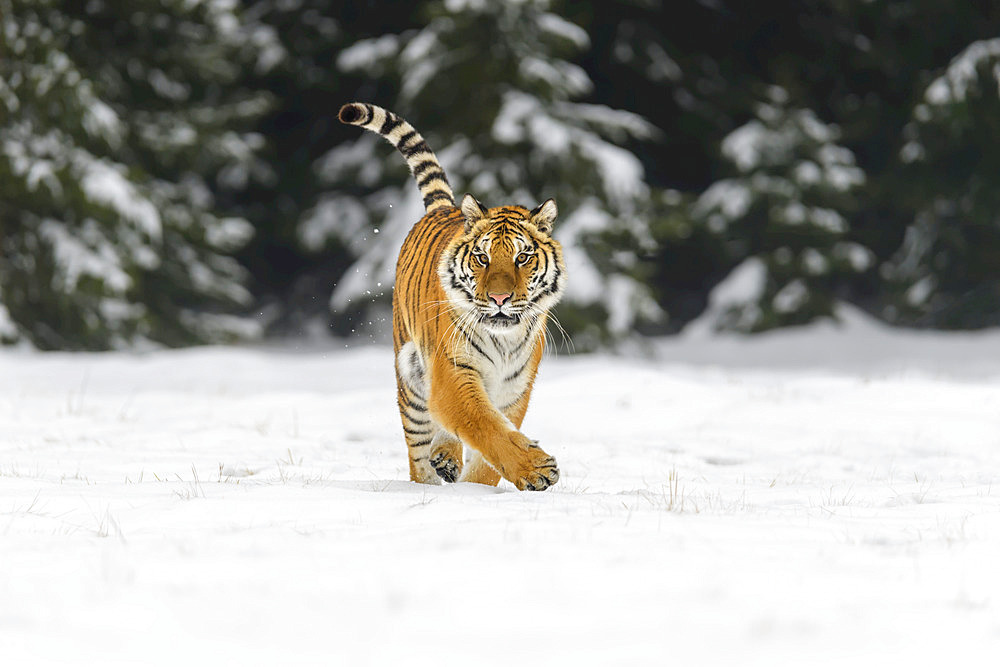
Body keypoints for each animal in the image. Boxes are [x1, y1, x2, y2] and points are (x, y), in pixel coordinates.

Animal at [340, 103, 568, 490]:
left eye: (522, 257)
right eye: (483, 257)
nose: (500, 298)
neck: (504, 340)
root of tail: (443, 207)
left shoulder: (513, 390)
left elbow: (489, 455)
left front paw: (476, 489)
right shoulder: (453, 374)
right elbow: (487, 427)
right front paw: (536, 470)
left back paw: (446, 459)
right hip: (412, 380)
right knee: (419, 451)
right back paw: (429, 479)